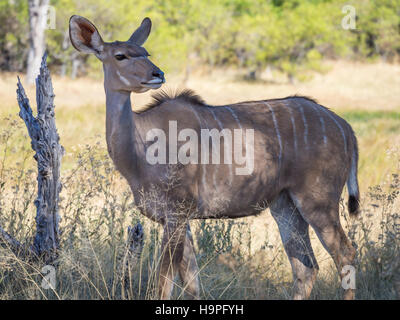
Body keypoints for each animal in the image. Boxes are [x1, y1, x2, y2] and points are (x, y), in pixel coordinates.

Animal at [70, 15, 360, 300]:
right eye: (120, 55)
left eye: (145, 53)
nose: (157, 74)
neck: (140, 153)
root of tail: (346, 127)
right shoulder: (179, 219)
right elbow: (192, 284)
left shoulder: (177, 213)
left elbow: (163, 284)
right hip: (285, 206)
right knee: (306, 266)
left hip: (318, 200)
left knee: (345, 252)